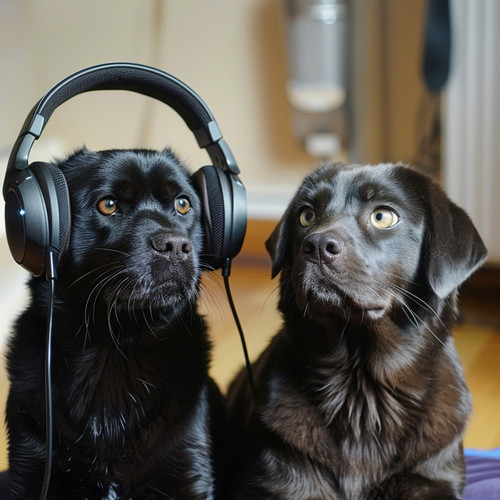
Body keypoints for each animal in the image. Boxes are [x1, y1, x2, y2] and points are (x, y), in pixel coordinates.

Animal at [2, 64, 245, 498]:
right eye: (108, 205)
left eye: (183, 204)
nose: (176, 246)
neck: (117, 348)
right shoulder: (28, 471)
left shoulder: (188, 472)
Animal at [227, 162, 488, 498]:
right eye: (306, 215)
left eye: (383, 216)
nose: (317, 245)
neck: (361, 387)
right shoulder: (286, 478)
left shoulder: (433, 476)